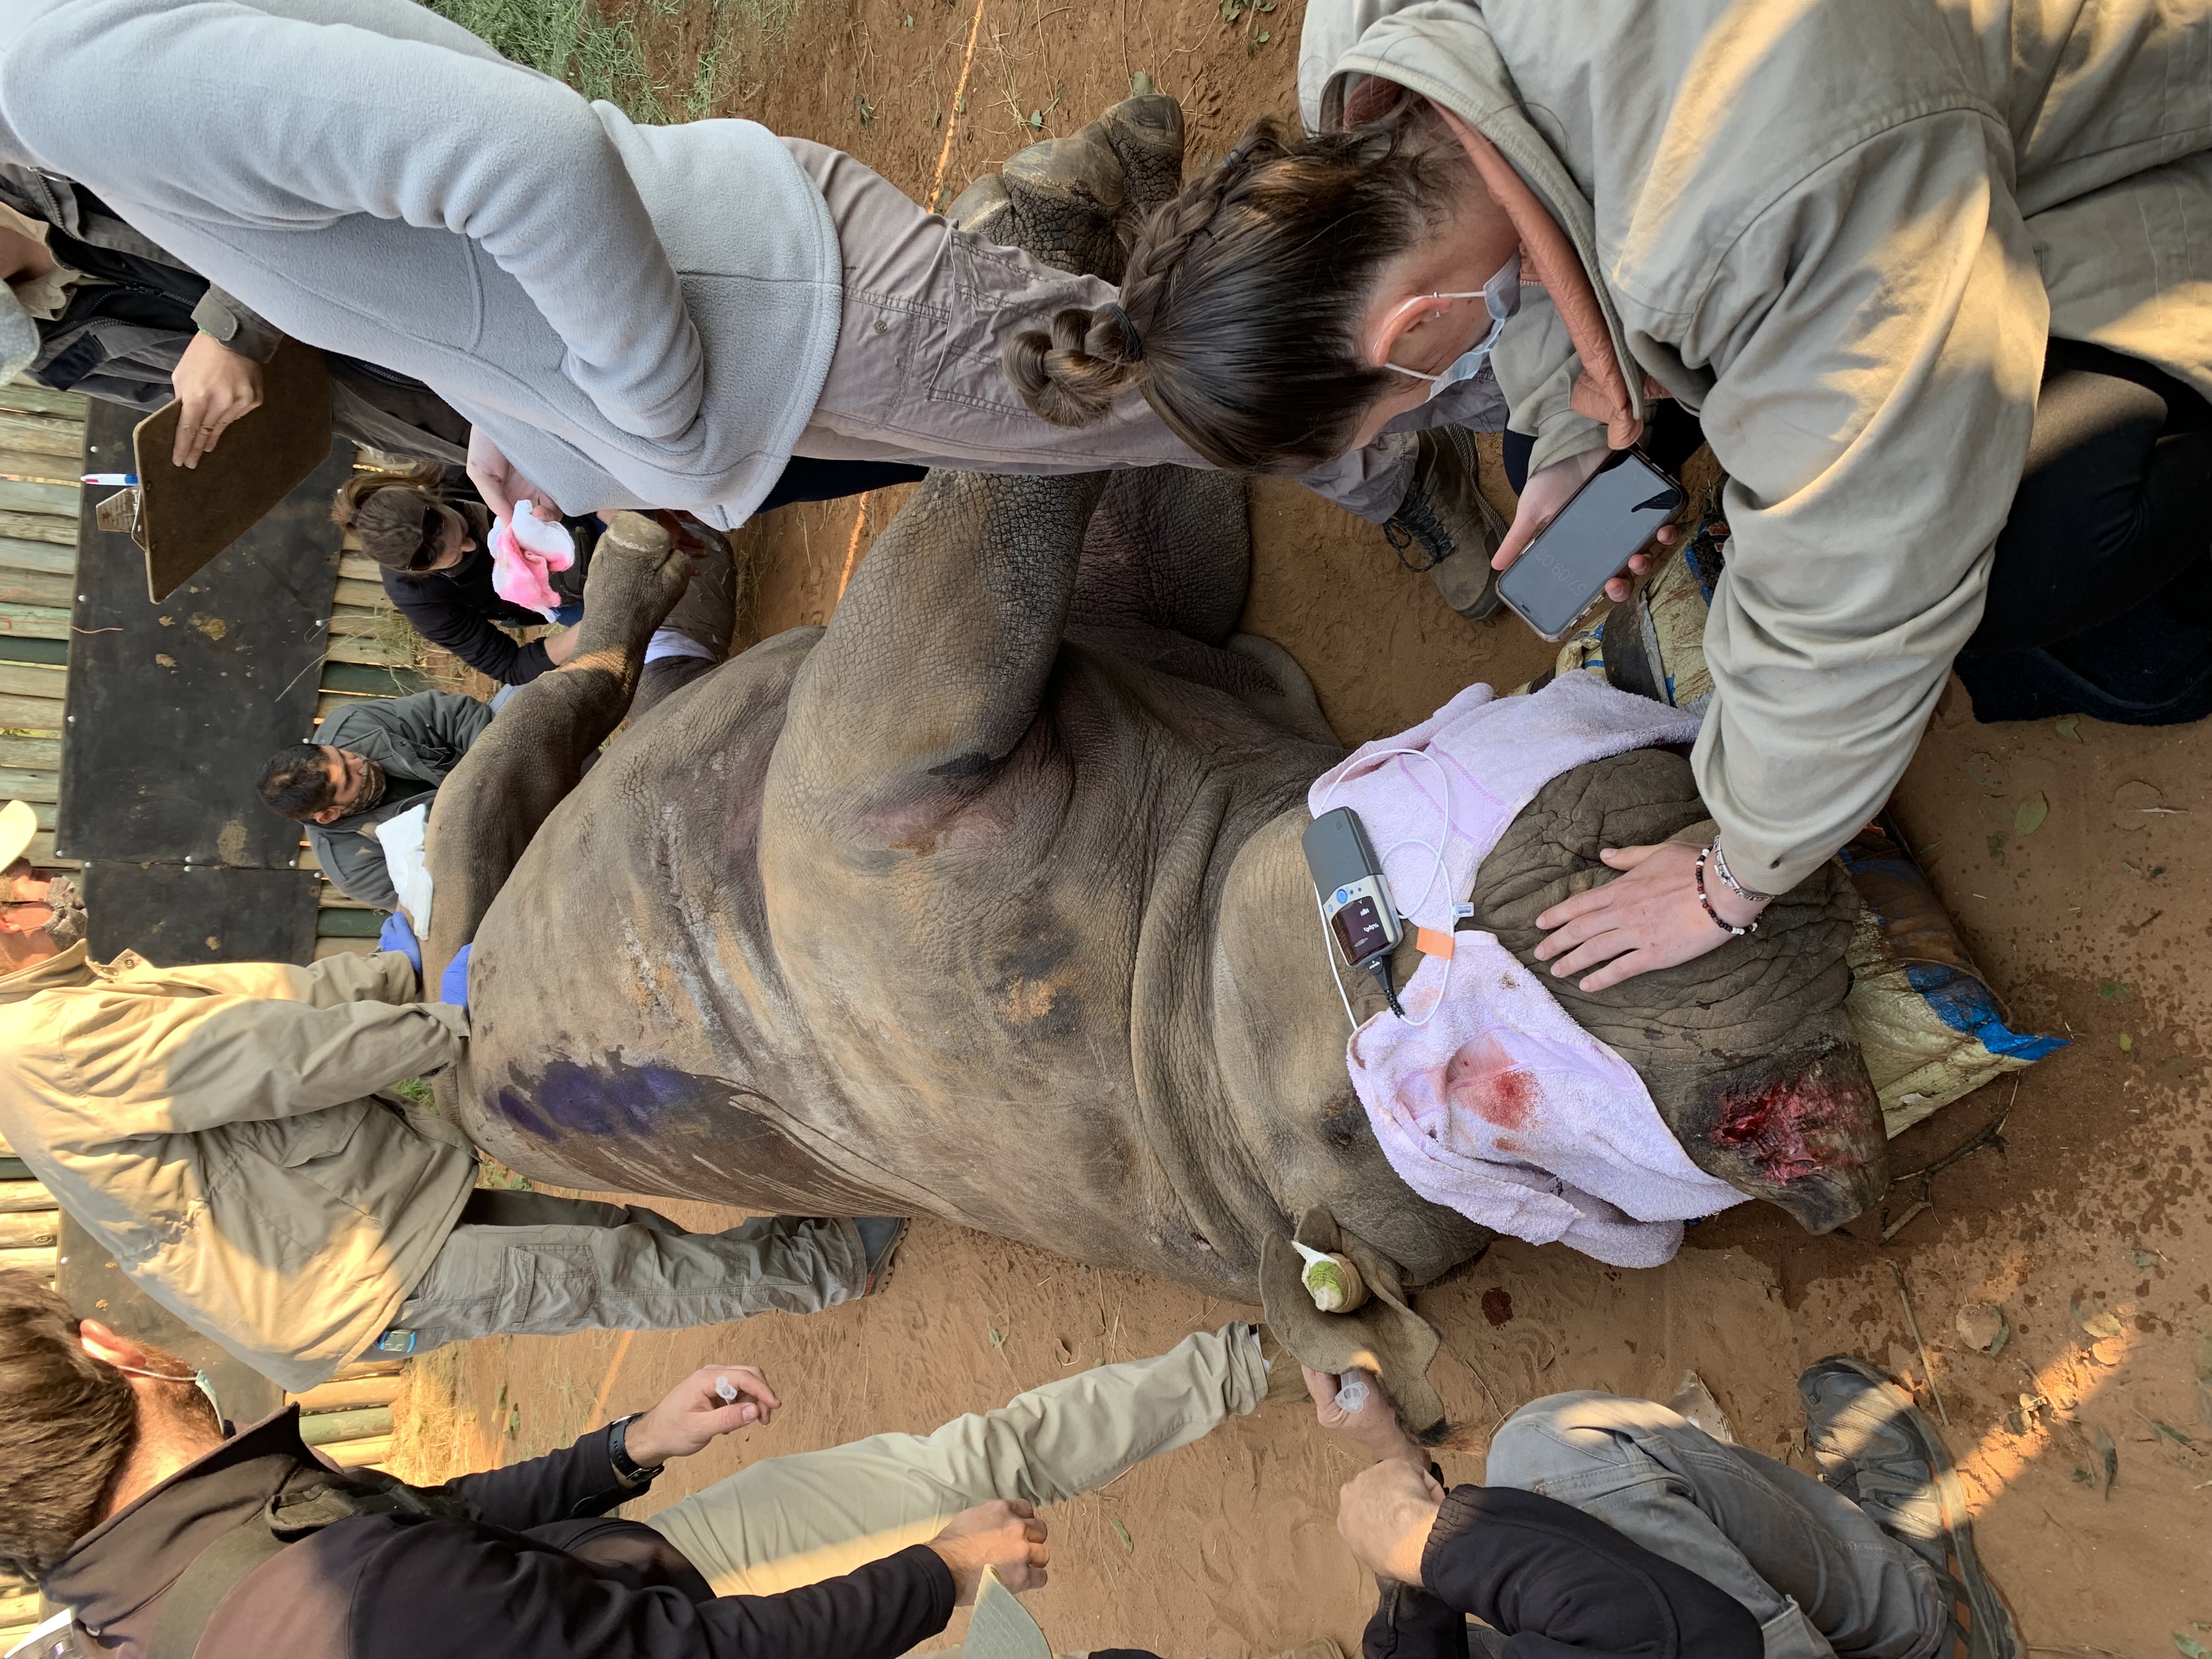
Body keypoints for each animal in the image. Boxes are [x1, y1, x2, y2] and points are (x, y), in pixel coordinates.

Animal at [424, 102, 1887, 1428]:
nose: (1801, 1110)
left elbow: (1077, 511)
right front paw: (1080, 233)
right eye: (1386, 1096)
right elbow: (1069, 504)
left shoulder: (1023, 729)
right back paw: (632, 548)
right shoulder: (967, 757)